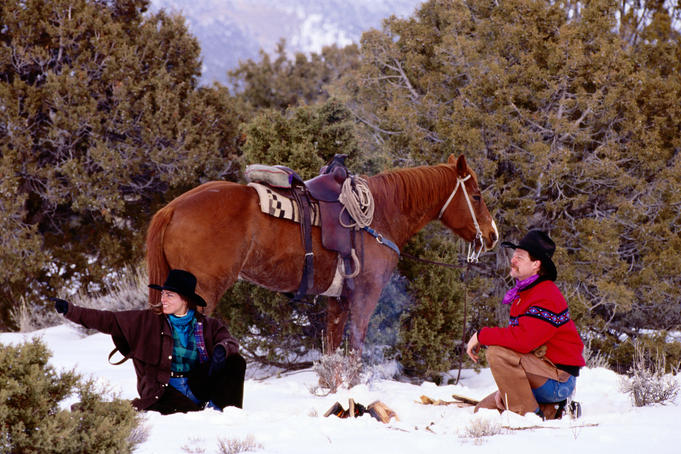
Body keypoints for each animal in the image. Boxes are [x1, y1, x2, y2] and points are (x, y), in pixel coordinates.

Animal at [146, 154, 498, 353]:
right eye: (477, 196)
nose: (493, 235)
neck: (380, 216)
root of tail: (172, 209)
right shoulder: (366, 294)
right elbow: (355, 346)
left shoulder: (337, 299)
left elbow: (332, 348)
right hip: (202, 292)